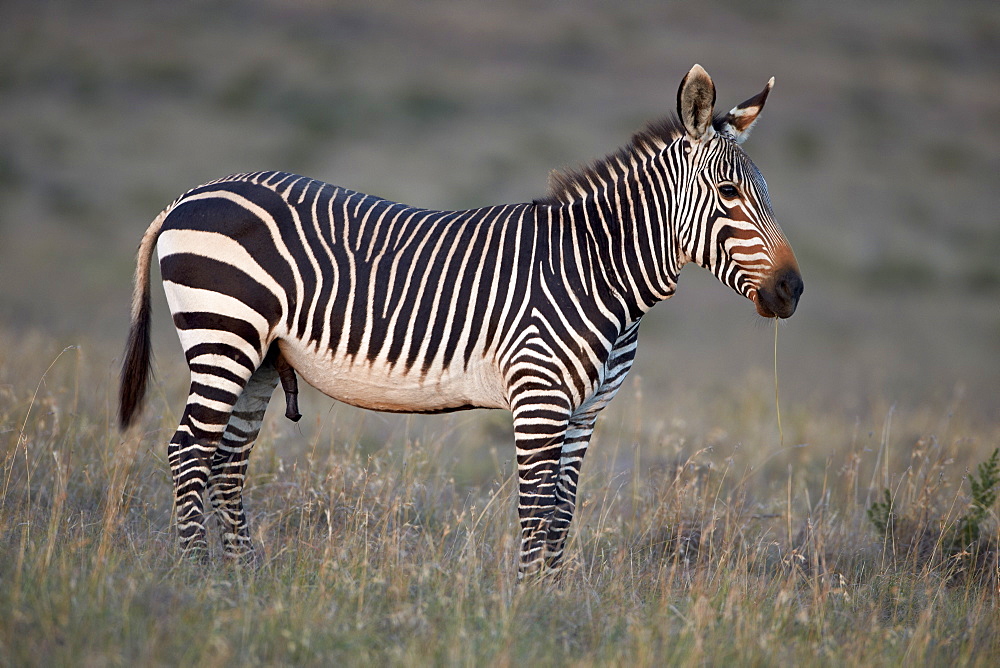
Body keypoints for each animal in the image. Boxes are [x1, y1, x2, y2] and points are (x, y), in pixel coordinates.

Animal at [119, 65, 804, 576]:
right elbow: (535, 512)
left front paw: (552, 602)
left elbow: (562, 513)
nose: (792, 290)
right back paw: (197, 578)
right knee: (188, 453)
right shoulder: (539, 396)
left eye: (768, 195)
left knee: (226, 461)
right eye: (729, 195)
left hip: (260, 357)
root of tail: (189, 195)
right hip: (223, 333)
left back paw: (241, 577)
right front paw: (529, 610)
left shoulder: (586, 411)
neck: (595, 267)